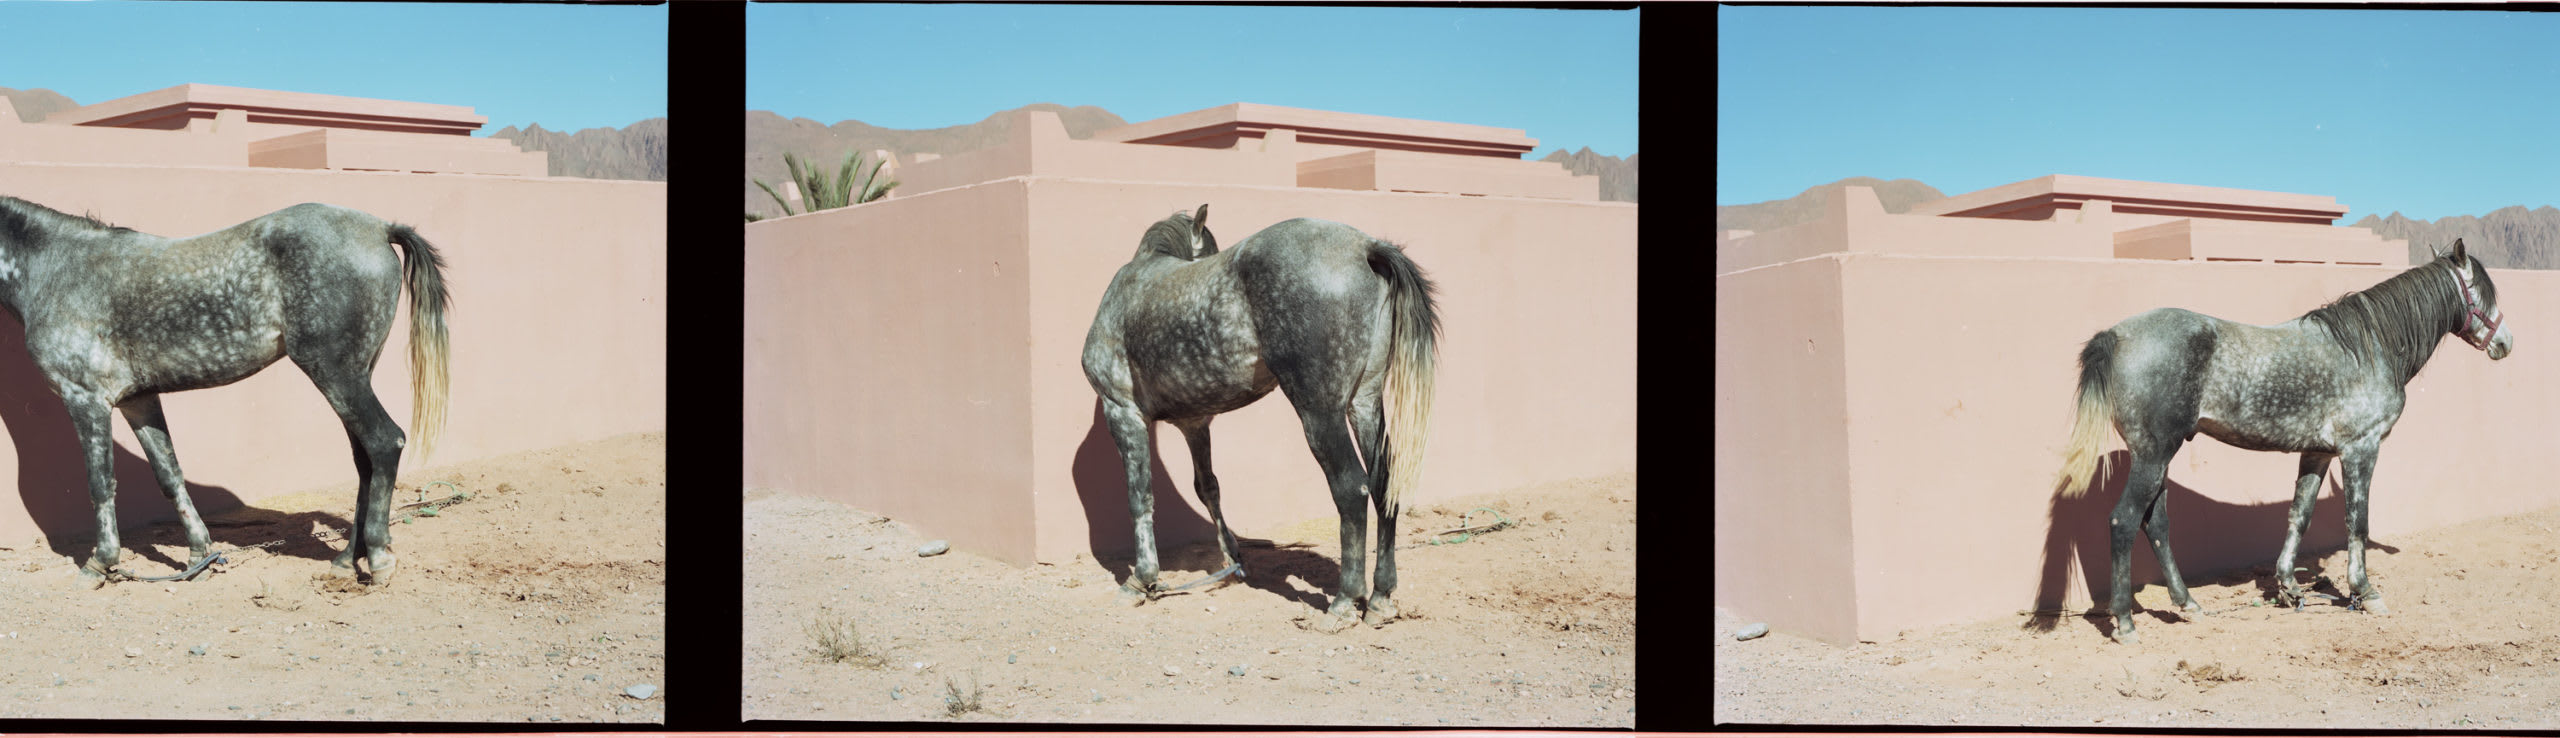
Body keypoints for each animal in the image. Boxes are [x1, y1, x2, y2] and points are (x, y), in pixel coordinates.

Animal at [0, 196, 450, 589]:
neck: (58, 268)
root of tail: (379, 228)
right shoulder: (137, 400)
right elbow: (169, 474)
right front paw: (199, 555)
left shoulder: (86, 399)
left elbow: (100, 483)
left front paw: (99, 563)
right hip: (355, 375)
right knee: (364, 461)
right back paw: (344, 561)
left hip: (335, 374)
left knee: (384, 442)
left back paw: (379, 558)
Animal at [1080, 205, 1443, 630]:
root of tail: (1365, 247)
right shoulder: (1195, 423)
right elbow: (1207, 487)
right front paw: (1232, 559)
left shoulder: (1121, 411)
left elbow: (1140, 496)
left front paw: (1141, 580)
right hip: (1364, 403)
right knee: (1383, 484)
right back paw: (1381, 598)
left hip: (1320, 412)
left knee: (1352, 488)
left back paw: (1343, 601)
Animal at [2048, 239, 2508, 643]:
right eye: (2481, 291)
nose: (2505, 343)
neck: (2368, 347)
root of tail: (2116, 335)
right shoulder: (2361, 448)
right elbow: (2357, 521)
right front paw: (2365, 591)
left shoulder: (2318, 453)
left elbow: (2299, 515)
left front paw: (2289, 588)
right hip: (2153, 454)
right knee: (2124, 521)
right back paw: (2126, 624)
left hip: (2160, 458)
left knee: (2156, 524)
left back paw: (2189, 606)